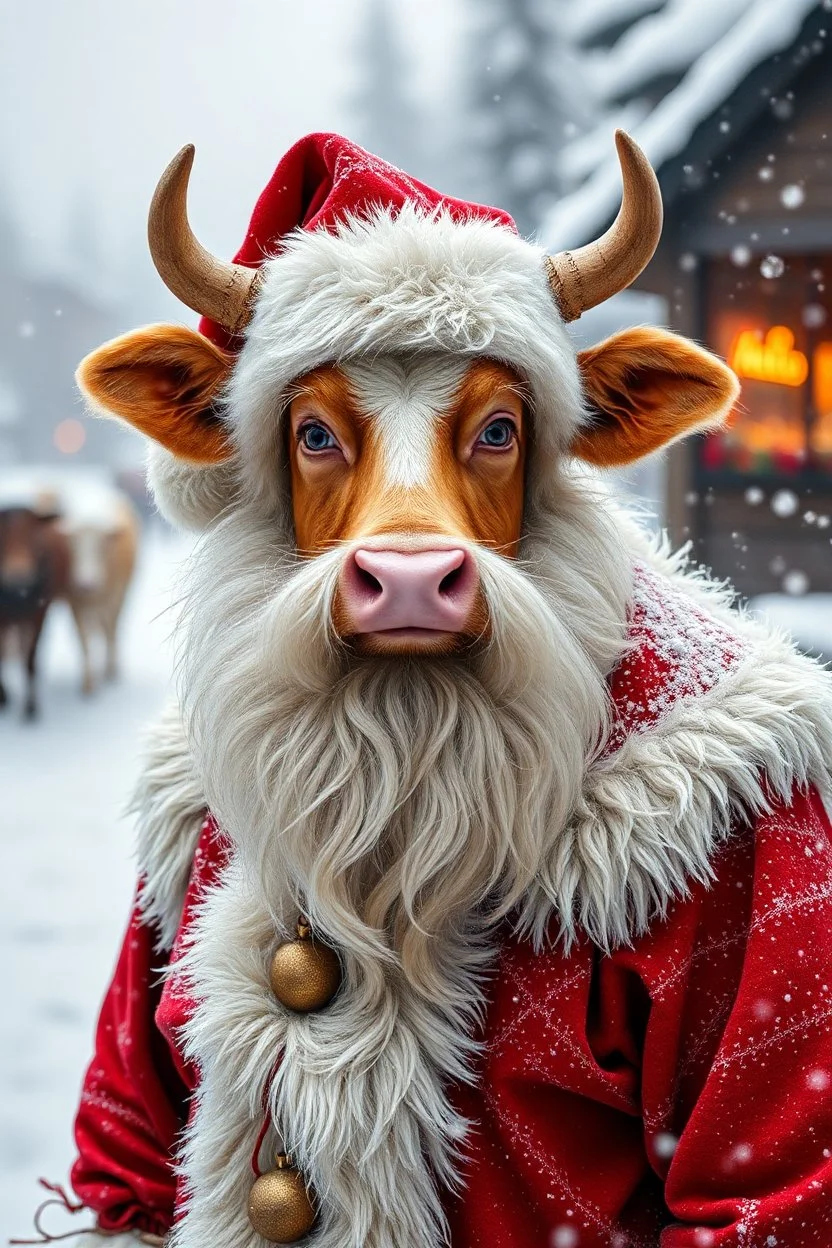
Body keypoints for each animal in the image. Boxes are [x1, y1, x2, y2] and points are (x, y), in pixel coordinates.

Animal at [0, 506, 70, 719]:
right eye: (2, 536)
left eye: (33, 536)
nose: (18, 575)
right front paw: (3, 697)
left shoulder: (40, 613)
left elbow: (30, 660)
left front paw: (31, 708)